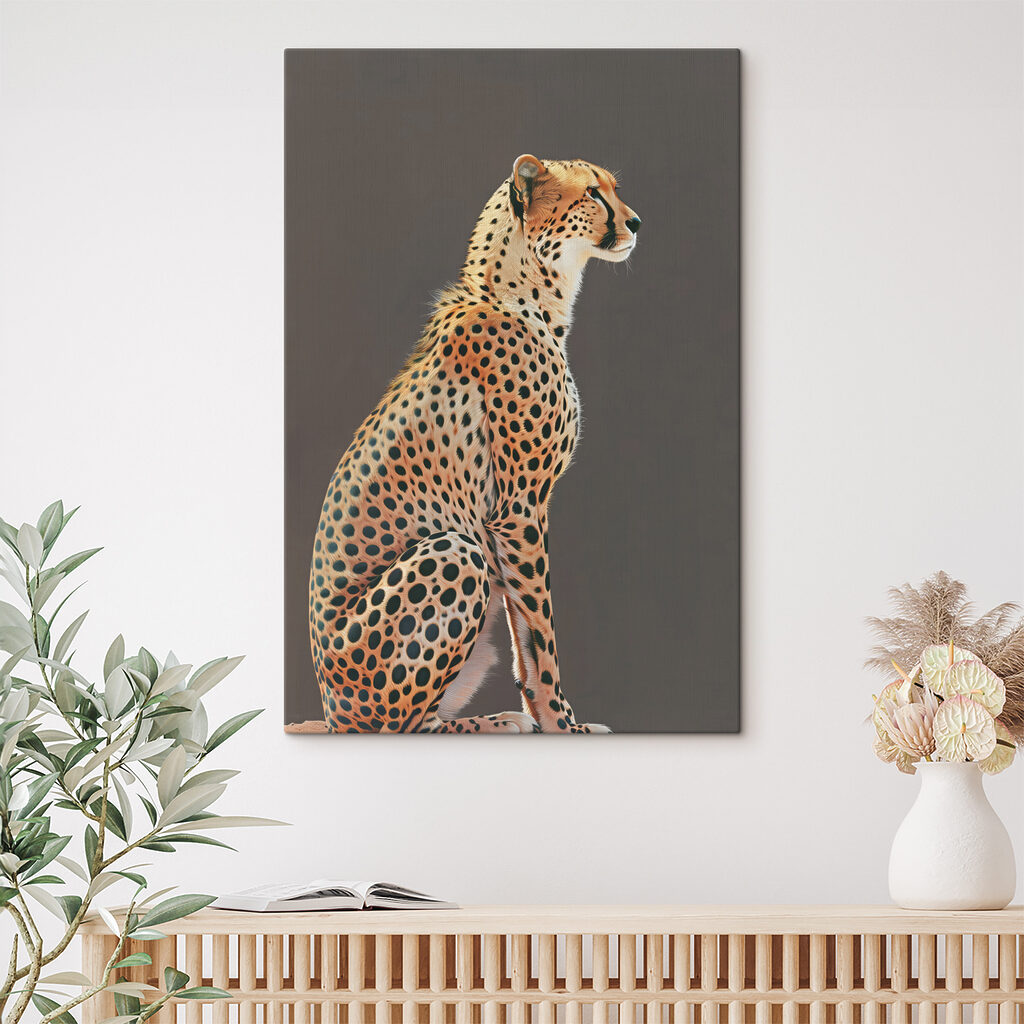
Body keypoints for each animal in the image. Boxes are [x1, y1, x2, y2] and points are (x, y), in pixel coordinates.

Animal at [309, 155, 640, 733]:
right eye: (594, 194)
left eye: (614, 190)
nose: (637, 223)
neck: (528, 293)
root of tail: (332, 713)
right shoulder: (518, 508)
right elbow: (541, 634)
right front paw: (562, 724)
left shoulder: (509, 521)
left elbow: (524, 634)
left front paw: (555, 719)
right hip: (455, 553)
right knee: (405, 727)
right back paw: (494, 723)